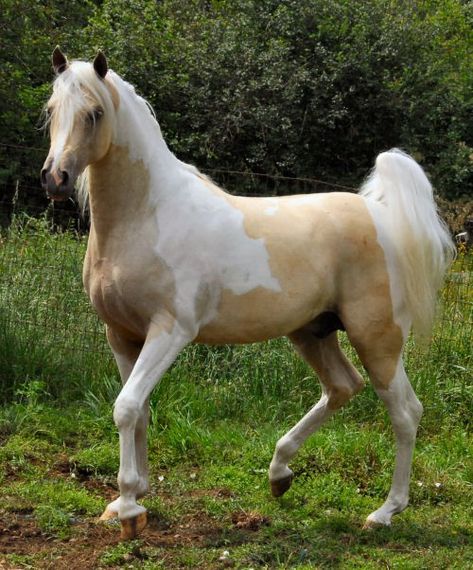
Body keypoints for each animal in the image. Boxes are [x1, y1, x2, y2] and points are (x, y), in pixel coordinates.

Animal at [40, 47, 454, 536]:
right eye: (52, 111)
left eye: (95, 113)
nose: (56, 179)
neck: (145, 216)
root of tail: (382, 217)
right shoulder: (122, 334)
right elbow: (137, 410)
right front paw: (133, 497)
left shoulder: (169, 332)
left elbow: (125, 407)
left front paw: (126, 508)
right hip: (313, 332)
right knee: (342, 387)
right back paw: (279, 474)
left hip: (378, 339)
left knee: (406, 412)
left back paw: (385, 511)